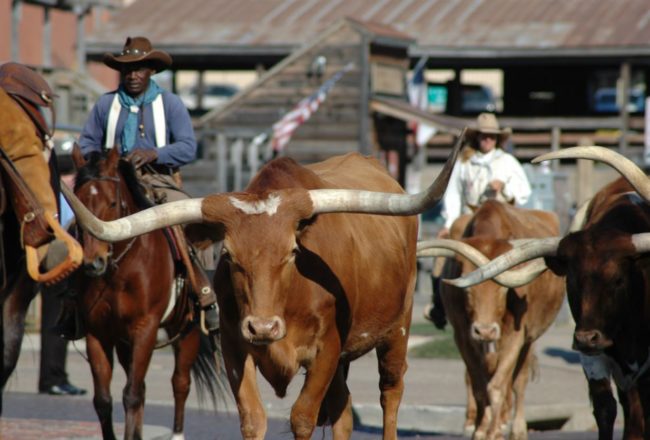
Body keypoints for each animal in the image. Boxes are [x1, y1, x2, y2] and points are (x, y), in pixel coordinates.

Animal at [69, 148, 224, 440]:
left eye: (112, 203)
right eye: (78, 201)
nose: (93, 263)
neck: (120, 269)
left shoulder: (145, 328)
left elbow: (131, 394)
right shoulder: (98, 333)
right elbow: (104, 399)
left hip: (187, 331)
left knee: (180, 383)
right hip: (124, 343)